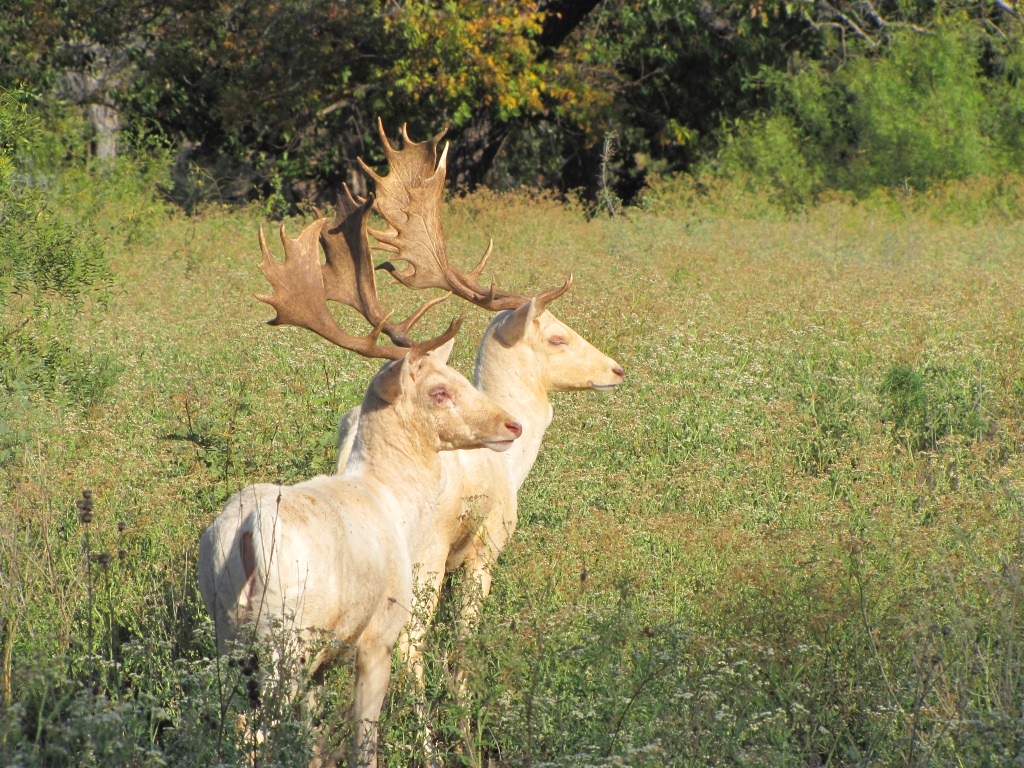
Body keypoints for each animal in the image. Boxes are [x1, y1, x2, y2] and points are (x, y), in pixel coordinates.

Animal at [196, 188, 524, 768]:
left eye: (458, 374)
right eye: (440, 390)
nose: (511, 424)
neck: (394, 503)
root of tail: (244, 534)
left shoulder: (323, 662)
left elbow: (313, 742)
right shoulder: (378, 633)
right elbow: (363, 739)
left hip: (227, 632)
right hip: (285, 637)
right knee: (259, 731)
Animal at [335, 123, 622, 708]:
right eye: (557, 336)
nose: (617, 369)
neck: (514, 467)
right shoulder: (484, 548)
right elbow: (462, 645)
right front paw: (465, 711)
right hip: (423, 554)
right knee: (409, 644)